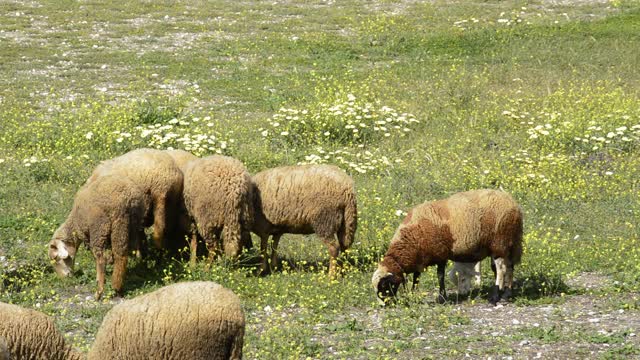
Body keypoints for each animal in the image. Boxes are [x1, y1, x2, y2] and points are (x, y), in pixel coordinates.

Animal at [372, 188, 524, 304]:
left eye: (384, 285)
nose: (383, 305)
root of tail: (514, 204)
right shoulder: (420, 259)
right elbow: (416, 277)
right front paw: (413, 294)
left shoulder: (440, 254)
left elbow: (440, 276)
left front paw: (442, 297)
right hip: (508, 243)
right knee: (509, 267)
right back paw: (506, 294)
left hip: (500, 242)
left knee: (501, 269)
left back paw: (495, 297)